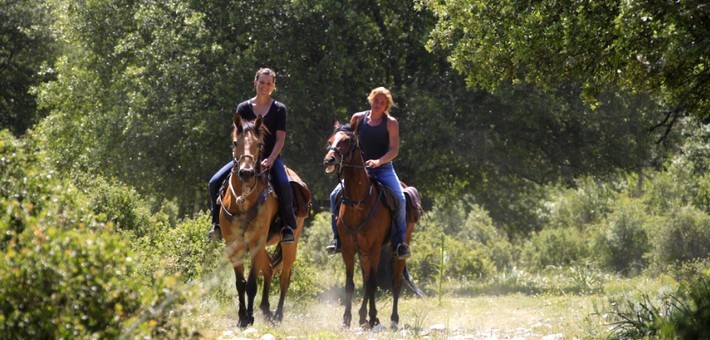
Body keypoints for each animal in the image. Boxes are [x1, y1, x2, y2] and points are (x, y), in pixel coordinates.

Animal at [220, 113, 308, 328]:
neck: (243, 200)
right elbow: (240, 283)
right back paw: (266, 309)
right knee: (268, 268)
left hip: (291, 242)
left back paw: (278, 314)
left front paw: (249, 318)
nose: (246, 172)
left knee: (284, 275)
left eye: (259, 144)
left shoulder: (256, 243)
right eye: (235, 142)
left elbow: (251, 284)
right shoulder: (233, 245)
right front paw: (242, 316)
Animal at [322, 121, 418, 330]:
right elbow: (351, 284)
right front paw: (347, 318)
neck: (358, 202)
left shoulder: (373, 248)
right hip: (364, 252)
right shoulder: (349, 249)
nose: (329, 160)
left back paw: (392, 319)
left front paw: (373, 317)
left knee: (395, 282)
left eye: (347, 140)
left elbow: (373, 284)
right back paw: (362, 316)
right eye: (330, 141)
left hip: (395, 250)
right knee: (367, 280)